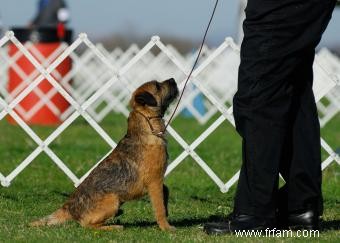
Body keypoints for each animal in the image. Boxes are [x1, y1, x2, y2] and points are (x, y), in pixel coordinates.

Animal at [30, 78, 179, 230]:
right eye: (157, 86)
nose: (173, 79)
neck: (147, 129)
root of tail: (69, 207)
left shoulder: (157, 181)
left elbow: (166, 191)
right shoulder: (154, 181)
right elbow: (159, 207)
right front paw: (166, 227)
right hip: (112, 200)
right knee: (87, 224)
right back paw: (113, 227)